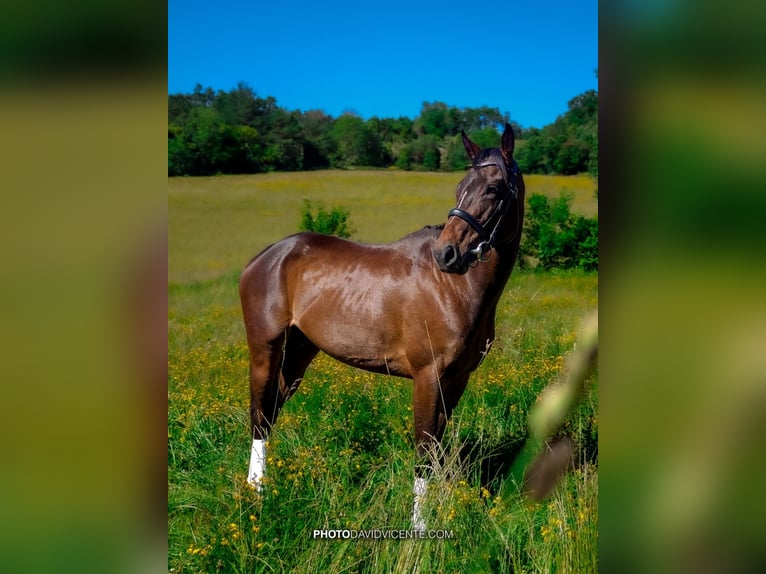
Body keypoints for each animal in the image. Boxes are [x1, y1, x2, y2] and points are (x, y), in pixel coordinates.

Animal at [240, 124, 528, 528]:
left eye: (493, 188)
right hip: (265, 350)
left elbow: (437, 449)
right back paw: (256, 495)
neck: (455, 288)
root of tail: (267, 255)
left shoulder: (457, 380)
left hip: (298, 353)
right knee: (260, 415)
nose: (447, 254)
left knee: (271, 412)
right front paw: (419, 529)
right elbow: (423, 453)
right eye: (461, 187)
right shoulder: (428, 378)